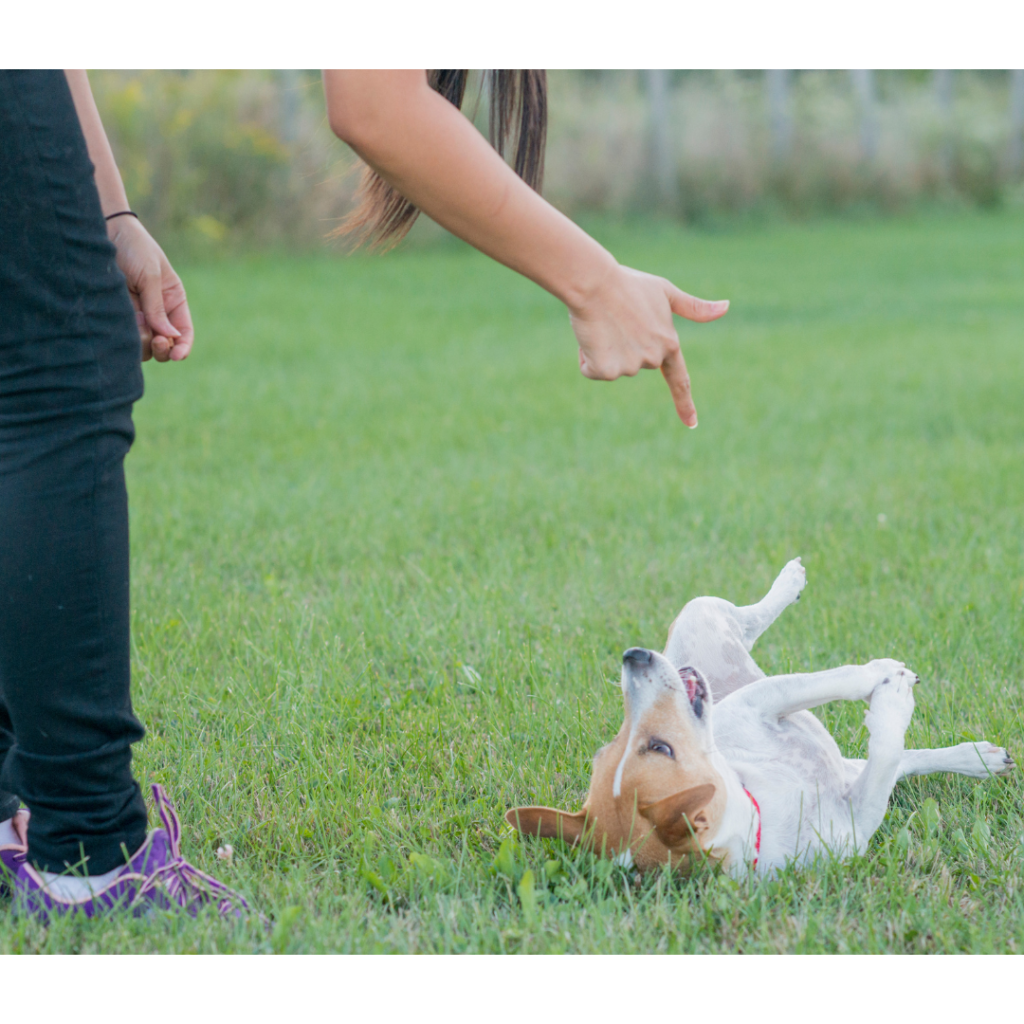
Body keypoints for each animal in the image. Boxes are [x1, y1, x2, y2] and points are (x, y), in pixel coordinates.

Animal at [507, 557, 1011, 876]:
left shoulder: (757, 702)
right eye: (660, 747)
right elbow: (885, 750)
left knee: (749, 617)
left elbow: (829, 687)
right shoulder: (858, 816)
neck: (761, 811)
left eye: (610, 747)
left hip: (701, 613)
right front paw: (890, 685)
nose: (633, 657)